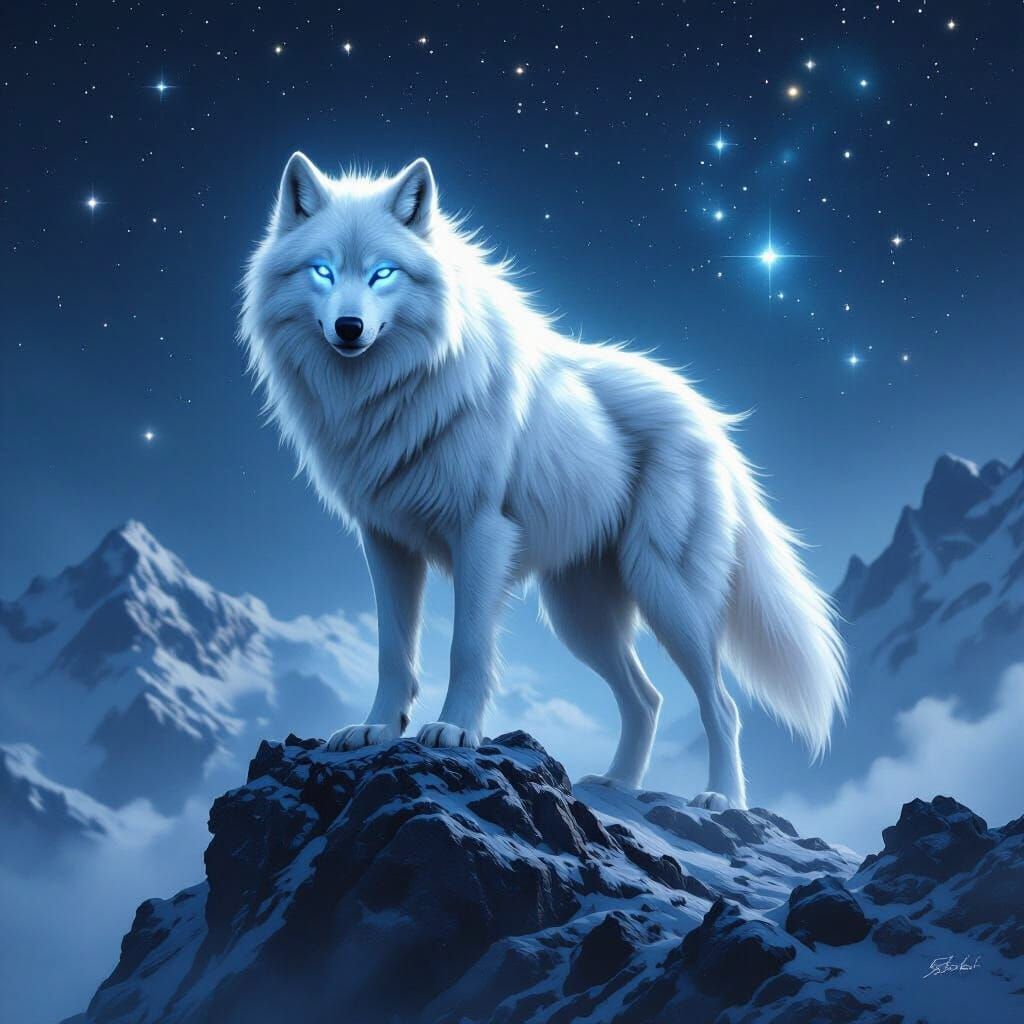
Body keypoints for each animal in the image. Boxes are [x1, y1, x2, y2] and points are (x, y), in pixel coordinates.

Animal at [240, 153, 846, 809]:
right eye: (323, 271)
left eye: (383, 275)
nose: (349, 328)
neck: (393, 390)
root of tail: (711, 420)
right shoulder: (386, 543)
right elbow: (392, 652)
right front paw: (376, 729)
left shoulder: (481, 532)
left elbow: (467, 647)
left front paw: (454, 729)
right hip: (580, 616)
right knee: (648, 699)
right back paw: (617, 785)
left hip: (665, 590)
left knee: (723, 706)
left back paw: (723, 800)